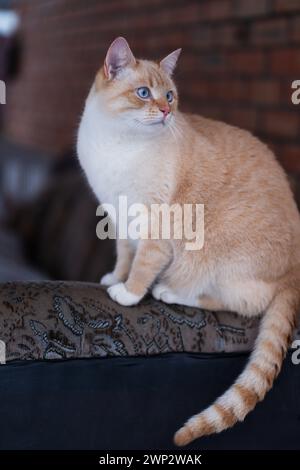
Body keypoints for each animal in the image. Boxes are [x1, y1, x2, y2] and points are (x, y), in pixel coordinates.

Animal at [78, 36, 300, 444]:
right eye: (144, 93)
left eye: (170, 95)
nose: (166, 111)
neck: (118, 145)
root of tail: (295, 270)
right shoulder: (119, 217)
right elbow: (124, 256)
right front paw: (114, 278)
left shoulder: (156, 227)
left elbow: (142, 266)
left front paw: (128, 293)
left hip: (215, 259)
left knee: (237, 304)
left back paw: (168, 292)